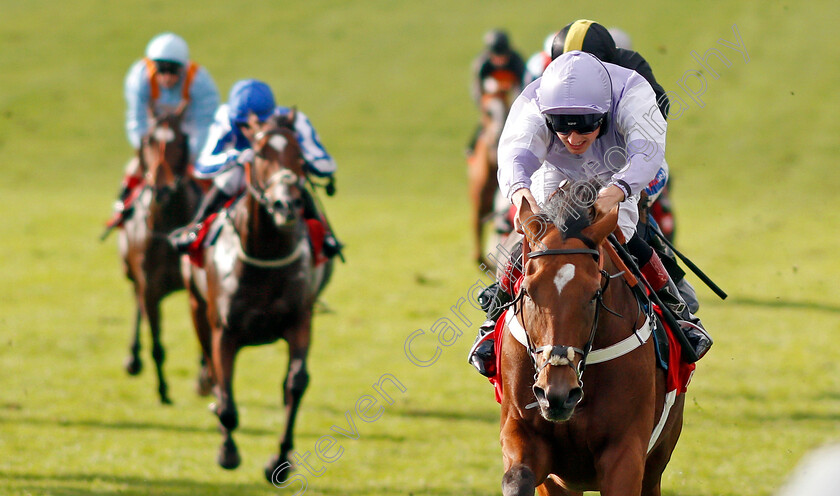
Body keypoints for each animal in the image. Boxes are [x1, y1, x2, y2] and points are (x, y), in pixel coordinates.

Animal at [118, 111, 205, 404]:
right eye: (148, 140)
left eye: (182, 139)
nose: (162, 189)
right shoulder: (150, 286)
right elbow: (156, 341)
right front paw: (163, 390)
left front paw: (205, 380)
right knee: (136, 303)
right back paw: (133, 359)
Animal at [185, 119, 334, 480]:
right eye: (259, 152)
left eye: (299, 154)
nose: (286, 204)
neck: (265, 253)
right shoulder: (223, 331)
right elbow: (225, 395)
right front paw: (227, 450)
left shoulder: (300, 321)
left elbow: (295, 384)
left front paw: (279, 458)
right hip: (197, 309)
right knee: (212, 372)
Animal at [498, 196, 684, 494]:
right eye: (527, 291)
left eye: (594, 294)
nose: (557, 394)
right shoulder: (525, 435)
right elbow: (517, 478)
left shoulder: (626, 450)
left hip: (658, 457)